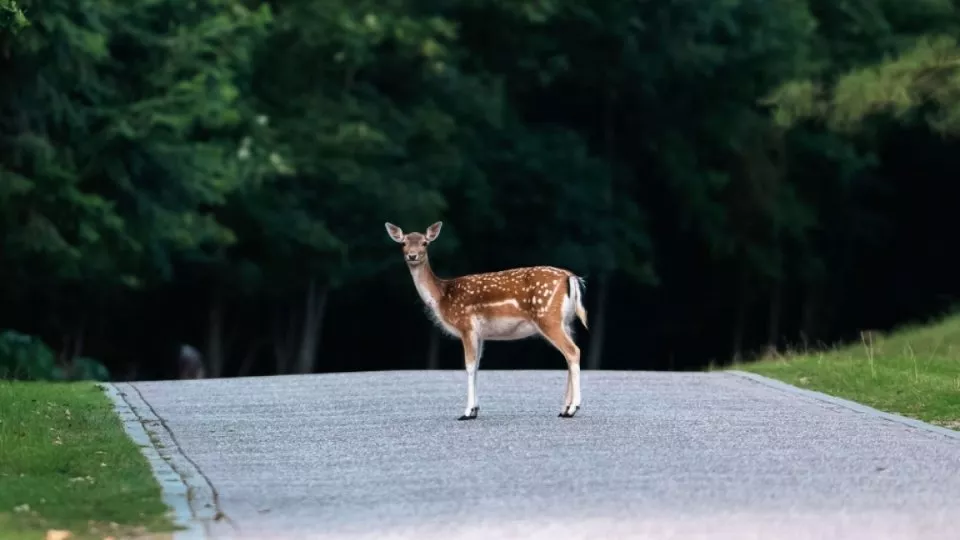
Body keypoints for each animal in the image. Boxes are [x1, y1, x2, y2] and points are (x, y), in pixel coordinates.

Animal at [386, 221, 588, 420]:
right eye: (403, 243)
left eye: (425, 243)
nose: (412, 255)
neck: (442, 296)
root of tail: (570, 277)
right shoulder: (480, 334)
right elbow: (476, 366)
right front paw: (475, 409)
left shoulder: (466, 325)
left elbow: (468, 366)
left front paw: (467, 412)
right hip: (566, 322)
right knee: (569, 355)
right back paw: (564, 408)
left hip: (548, 317)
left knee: (573, 351)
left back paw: (573, 408)